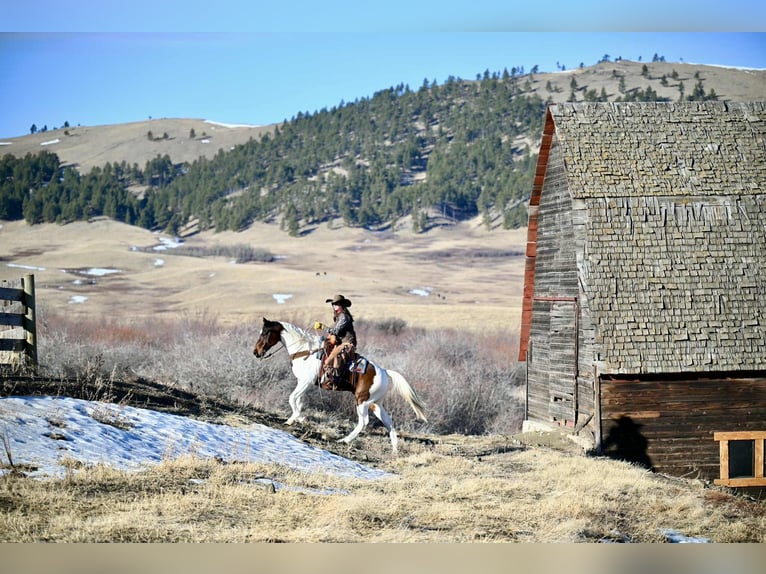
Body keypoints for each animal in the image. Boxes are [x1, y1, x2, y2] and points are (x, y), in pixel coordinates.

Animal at [253, 317, 427, 453]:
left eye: (265, 333)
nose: (256, 352)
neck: (305, 351)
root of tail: (384, 372)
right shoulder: (303, 384)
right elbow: (298, 400)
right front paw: (298, 418)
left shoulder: (305, 382)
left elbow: (291, 398)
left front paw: (294, 418)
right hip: (376, 404)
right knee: (389, 423)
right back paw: (395, 449)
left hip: (362, 402)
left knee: (363, 422)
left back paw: (345, 440)